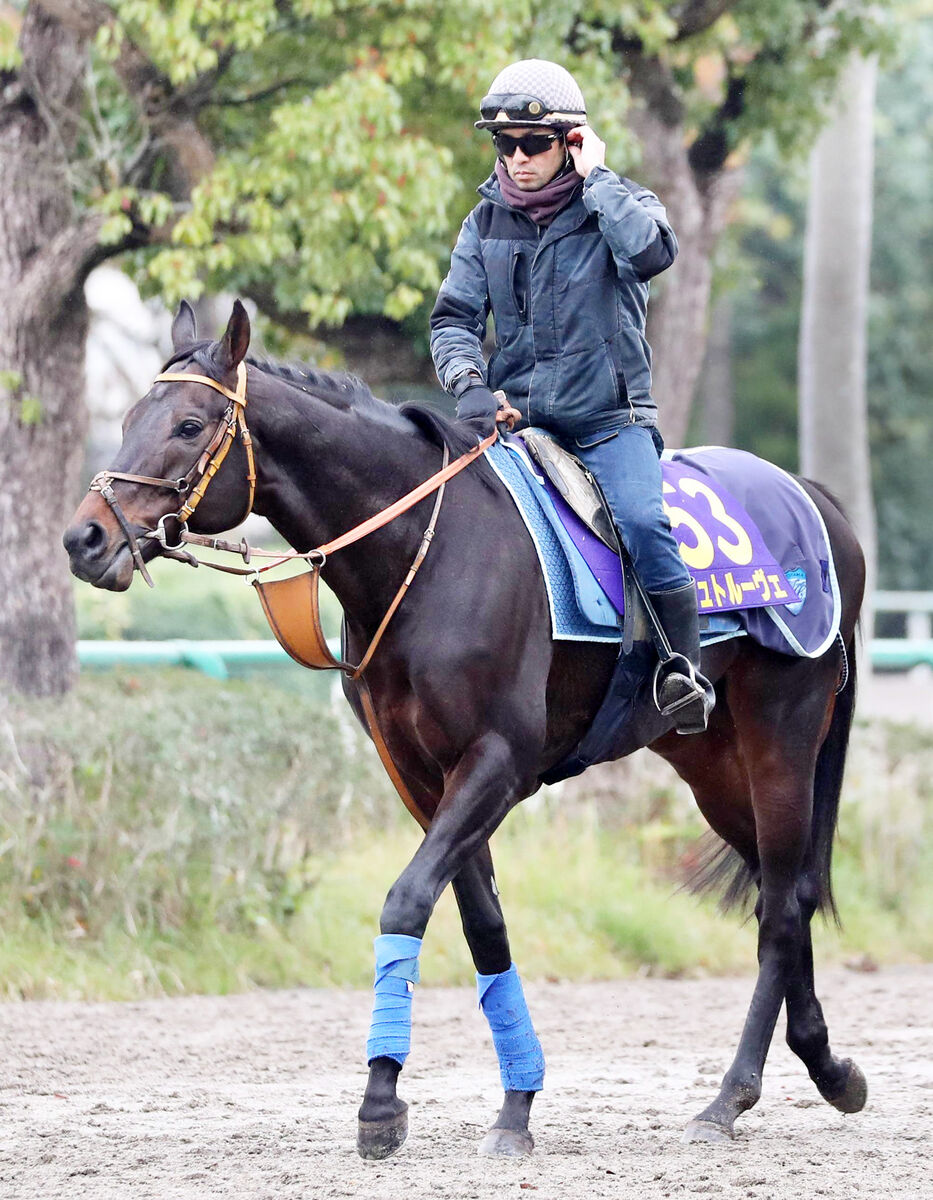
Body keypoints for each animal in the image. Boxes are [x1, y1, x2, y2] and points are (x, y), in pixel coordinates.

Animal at [63, 302, 863, 1161]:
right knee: (784, 894)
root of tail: (815, 500)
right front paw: (514, 1103)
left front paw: (379, 1100)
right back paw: (827, 1067)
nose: (85, 540)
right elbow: (483, 925)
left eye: (187, 424)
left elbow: (407, 901)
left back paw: (728, 1097)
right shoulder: (421, 777)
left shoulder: (497, 764)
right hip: (710, 763)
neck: (428, 552)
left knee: (780, 906)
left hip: (781, 737)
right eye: (125, 420)